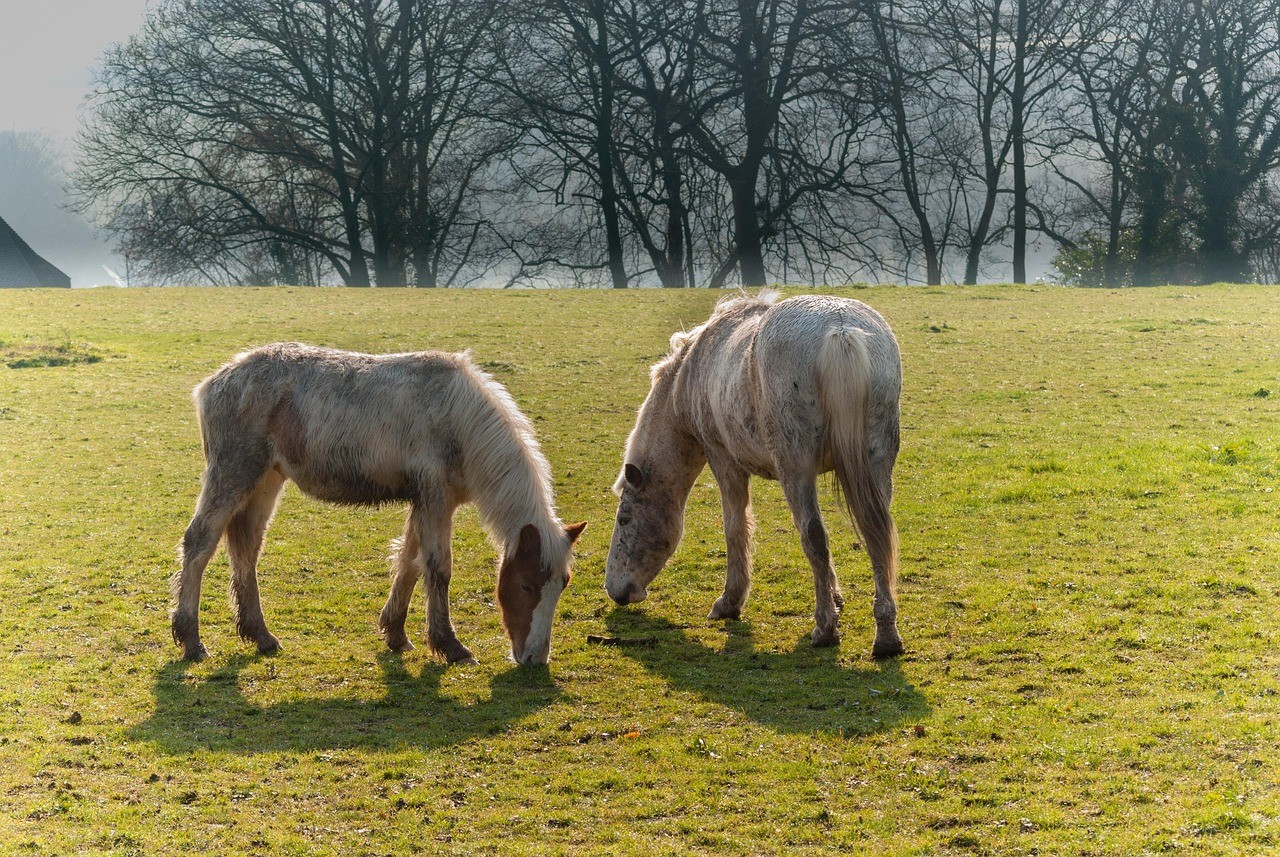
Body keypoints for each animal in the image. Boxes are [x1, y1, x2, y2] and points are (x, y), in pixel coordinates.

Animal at [170, 342, 586, 667]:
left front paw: (396, 634)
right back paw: (192, 640)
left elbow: (409, 562)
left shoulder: (429, 501)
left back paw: (261, 636)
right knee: (199, 543)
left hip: (266, 481)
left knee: (246, 548)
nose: (535, 659)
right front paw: (451, 646)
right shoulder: (434, 498)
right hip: (234, 474)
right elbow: (438, 568)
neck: (457, 418)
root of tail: (213, 383)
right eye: (527, 585)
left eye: (562, 584)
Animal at [604, 291, 904, 658]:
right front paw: (836, 597)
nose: (615, 590)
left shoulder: (724, 460)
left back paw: (825, 629)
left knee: (815, 536)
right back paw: (886, 636)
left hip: (796, 469)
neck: (691, 373)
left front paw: (729, 602)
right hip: (876, 467)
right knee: (878, 538)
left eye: (625, 519)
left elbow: (735, 527)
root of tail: (841, 330)